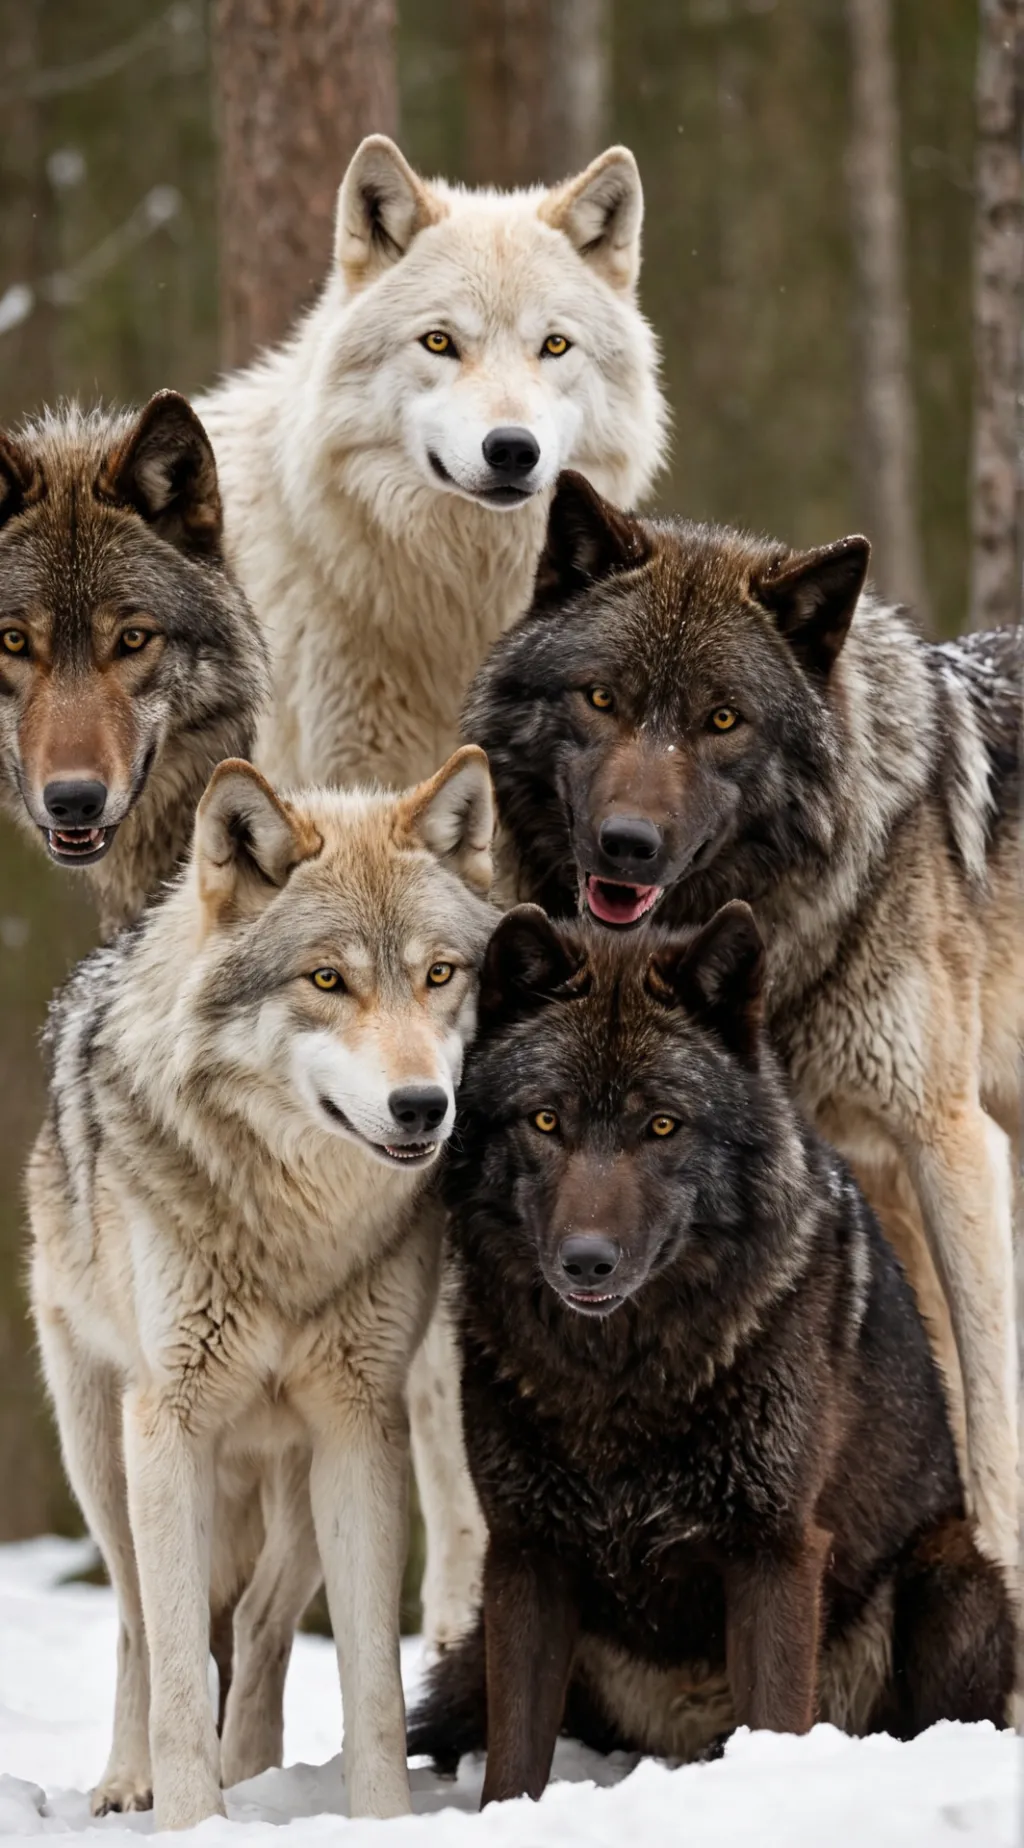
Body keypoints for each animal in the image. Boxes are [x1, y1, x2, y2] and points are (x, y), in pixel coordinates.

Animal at [28, 746, 497, 1829]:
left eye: (439, 975)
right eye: (328, 979)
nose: (424, 1106)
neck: (296, 1231)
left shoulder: (359, 1427)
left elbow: (371, 1679)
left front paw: (380, 1823)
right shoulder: (171, 1423)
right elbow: (175, 1667)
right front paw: (189, 1823)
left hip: (297, 1487)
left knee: (258, 1617)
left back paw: (253, 1773)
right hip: (101, 1456)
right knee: (137, 1623)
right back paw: (129, 1782)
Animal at [407, 905, 1014, 1802]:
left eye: (662, 1124)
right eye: (546, 1120)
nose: (586, 1261)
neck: (616, 1383)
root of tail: (681, 1736)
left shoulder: (775, 1551)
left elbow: (774, 1723)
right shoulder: (525, 1558)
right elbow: (514, 1761)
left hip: (955, 1576)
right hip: (474, 1658)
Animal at [462, 471, 1023, 1584]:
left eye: (721, 720)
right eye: (600, 698)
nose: (625, 846)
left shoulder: (952, 1145)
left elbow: (988, 1429)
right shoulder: (865, 1171)